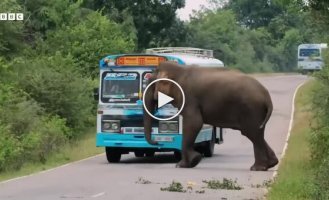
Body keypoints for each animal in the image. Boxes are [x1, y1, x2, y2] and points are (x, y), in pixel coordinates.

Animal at [142, 61, 278, 170]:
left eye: (150, 83)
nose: (157, 142)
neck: (179, 69)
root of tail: (267, 96)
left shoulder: (189, 98)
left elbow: (194, 123)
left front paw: (186, 164)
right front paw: (191, 161)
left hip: (251, 108)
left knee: (253, 134)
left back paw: (257, 168)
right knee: (255, 133)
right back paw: (271, 164)